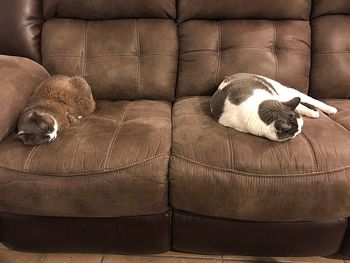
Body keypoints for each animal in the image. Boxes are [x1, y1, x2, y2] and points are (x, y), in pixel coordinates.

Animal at [209, 73, 338, 141]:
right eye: (296, 132)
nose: (300, 130)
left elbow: (301, 107)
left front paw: (313, 112)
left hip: (284, 92)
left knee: (307, 100)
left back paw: (329, 110)